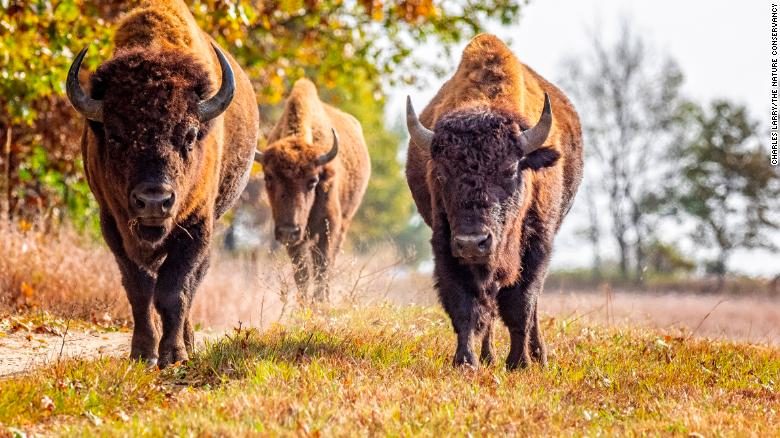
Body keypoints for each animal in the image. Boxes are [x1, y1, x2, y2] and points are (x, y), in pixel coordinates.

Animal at [66, 0, 259, 367]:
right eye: (114, 135)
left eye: (189, 135)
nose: (154, 201)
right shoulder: (113, 225)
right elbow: (139, 289)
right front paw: (143, 353)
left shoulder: (196, 226)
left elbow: (174, 290)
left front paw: (174, 354)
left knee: (193, 282)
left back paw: (189, 342)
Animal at [255, 79, 370, 302]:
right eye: (268, 177)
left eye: (313, 181)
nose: (288, 231)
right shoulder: (294, 240)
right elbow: (302, 276)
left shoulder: (328, 228)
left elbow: (321, 270)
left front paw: (319, 305)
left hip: (344, 224)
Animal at [405, 34, 583, 370]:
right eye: (442, 173)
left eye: (510, 169)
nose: (473, 242)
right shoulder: (446, 246)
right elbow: (465, 306)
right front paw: (465, 361)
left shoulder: (537, 246)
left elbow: (521, 305)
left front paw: (520, 362)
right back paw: (488, 356)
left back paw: (538, 355)